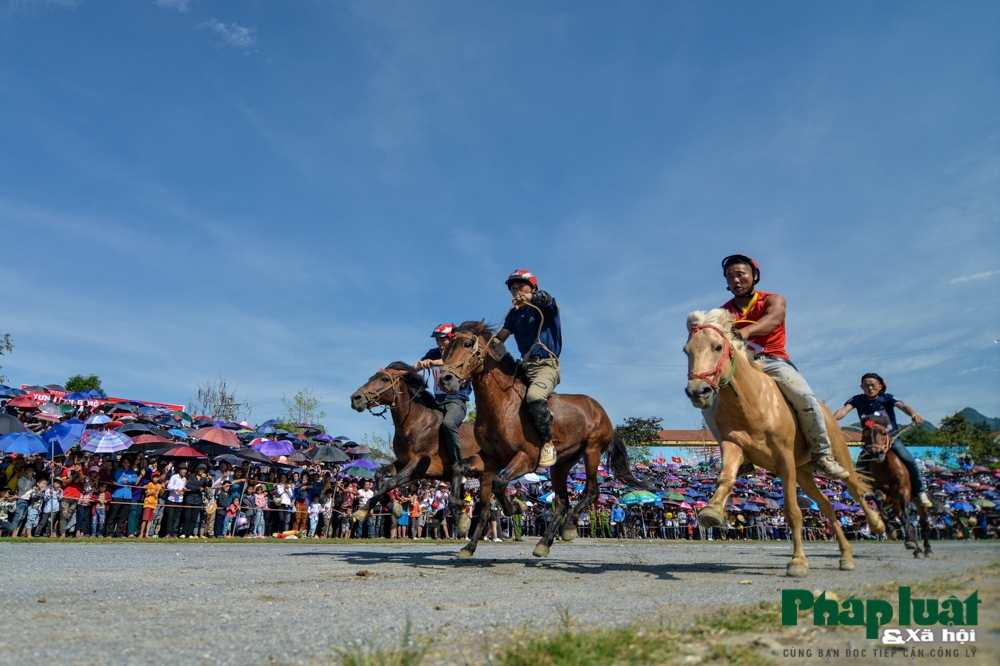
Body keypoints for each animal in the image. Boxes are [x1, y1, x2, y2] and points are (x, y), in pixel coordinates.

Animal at [348, 364, 480, 536]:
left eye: (384, 379)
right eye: (371, 378)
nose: (355, 398)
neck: (415, 423)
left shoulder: (418, 465)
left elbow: (391, 482)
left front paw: (364, 509)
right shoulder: (402, 463)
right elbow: (380, 476)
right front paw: (393, 507)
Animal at [440, 320, 648, 556]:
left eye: (467, 344)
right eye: (446, 349)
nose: (445, 380)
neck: (503, 404)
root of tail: (601, 412)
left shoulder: (527, 458)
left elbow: (499, 483)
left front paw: (516, 506)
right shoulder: (490, 459)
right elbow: (461, 471)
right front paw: (462, 524)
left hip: (592, 451)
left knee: (591, 491)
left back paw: (569, 527)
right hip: (561, 465)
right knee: (563, 502)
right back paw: (544, 542)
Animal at [688, 308, 884, 572]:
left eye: (718, 347)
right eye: (687, 350)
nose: (697, 392)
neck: (751, 403)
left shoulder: (784, 460)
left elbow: (793, 512)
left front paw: (798, 561)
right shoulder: (734, 447)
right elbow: (726, 478)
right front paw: (712, 511)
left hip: (838, 457)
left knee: (856, 490)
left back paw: (876, 524)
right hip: (804, 473)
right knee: (828, 507)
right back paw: (846, 556)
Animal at [860, 416, 928, 556]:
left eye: (883, 433)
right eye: (865, 435)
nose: (877, 453)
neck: (887, 469)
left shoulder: (904, 492)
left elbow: (907, 516)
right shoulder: (881, 491)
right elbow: (879, 502)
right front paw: (890, 530)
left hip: (918, 501)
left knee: (923, 523)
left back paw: (926, 549)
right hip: (896, 505)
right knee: (905, 521)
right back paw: (915, 546)